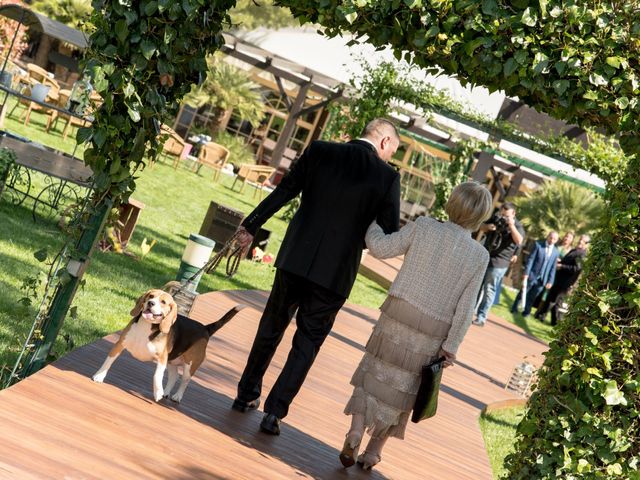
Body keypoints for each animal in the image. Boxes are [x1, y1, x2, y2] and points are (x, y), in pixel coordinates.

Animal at [92, 286, 245, 404]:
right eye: (151, 296)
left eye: (163, 302)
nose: (151, 303)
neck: (146, 327)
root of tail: (205, 328)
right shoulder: (120, 345)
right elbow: (108, 361)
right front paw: (99, 376)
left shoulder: (161, 359)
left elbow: (157, 376)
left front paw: (157, 392)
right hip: (172, 361)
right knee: (174, 376)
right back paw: (166, 392)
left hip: (190, 365)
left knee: (185, 381)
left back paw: (176, 396)